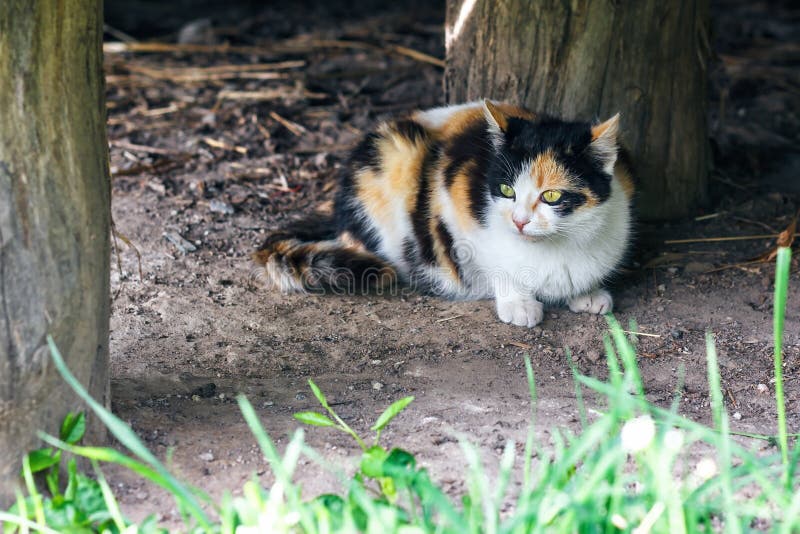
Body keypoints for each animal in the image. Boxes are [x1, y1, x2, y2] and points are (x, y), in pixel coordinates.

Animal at [253, 98, 636, 328]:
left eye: (552, 195)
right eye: (506, 191)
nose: (518, 221)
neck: (557, 247)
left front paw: (587, 293)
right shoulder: (455, 206)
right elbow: (494, 261)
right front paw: (518, 303)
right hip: (391, 154)